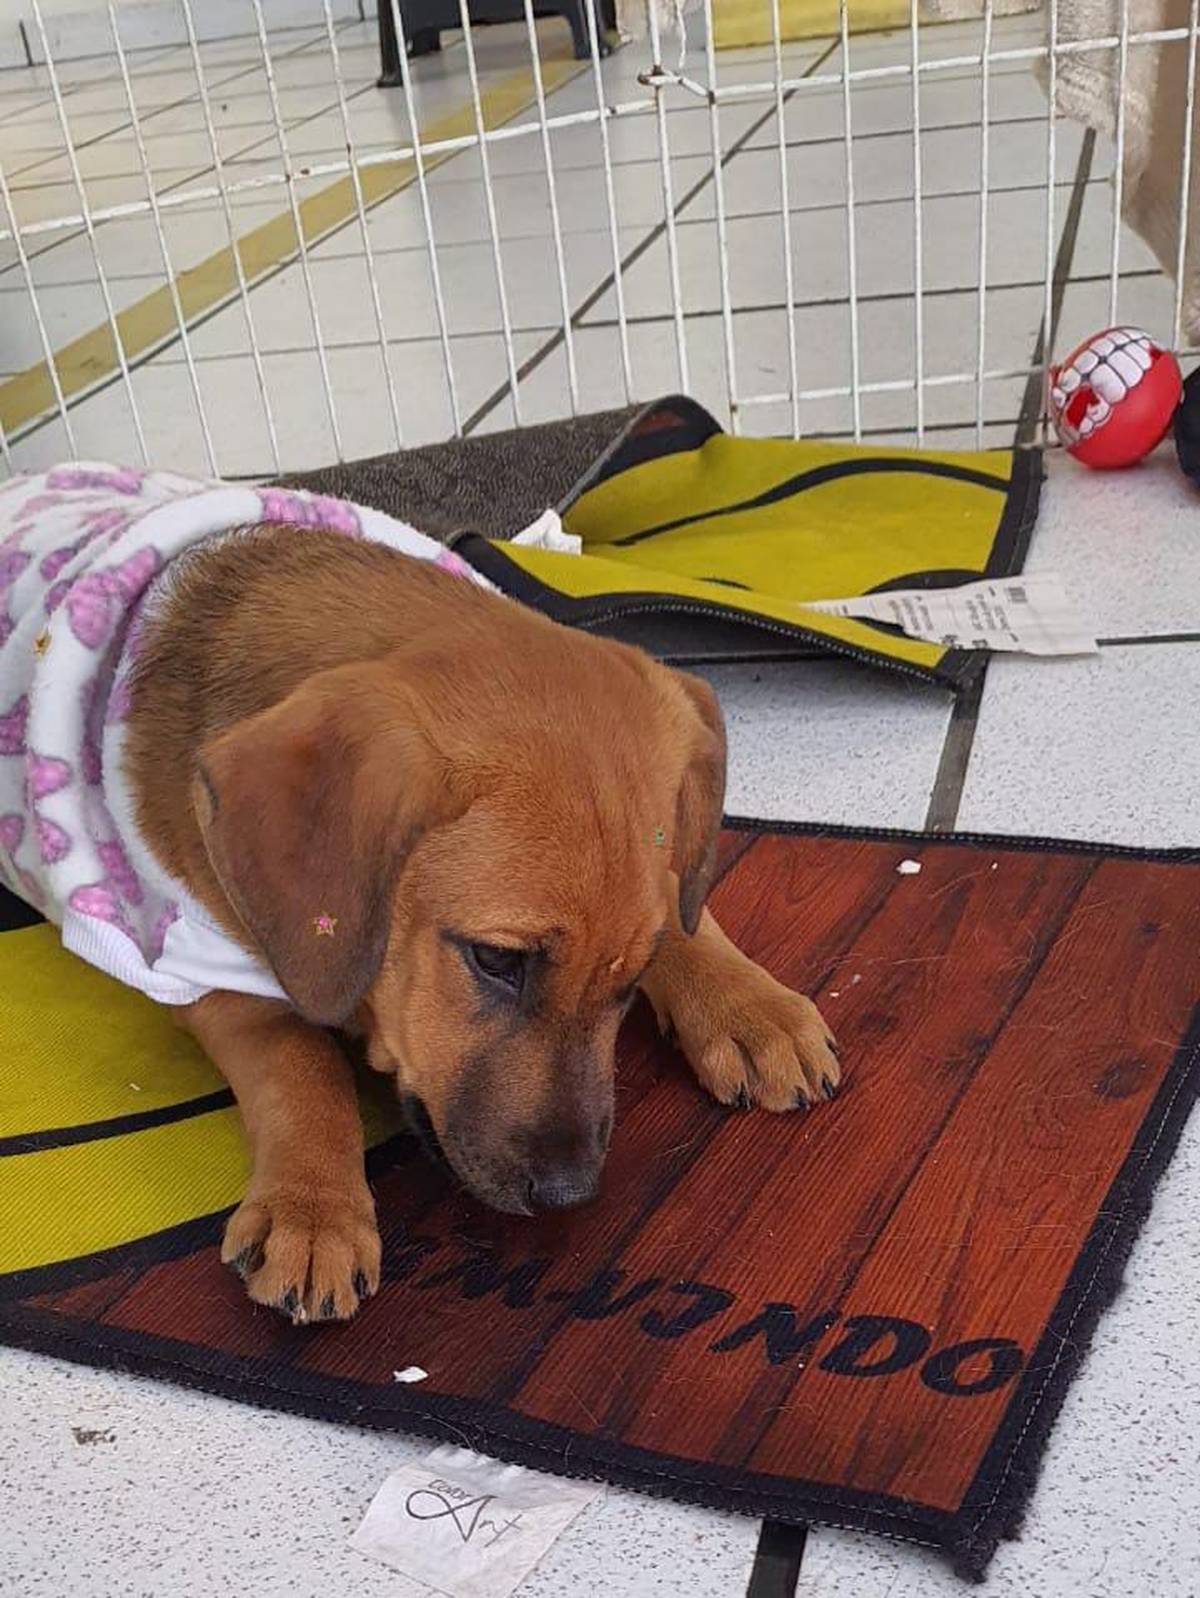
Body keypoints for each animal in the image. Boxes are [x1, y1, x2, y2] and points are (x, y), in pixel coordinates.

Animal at [0, 466, 839, 1325]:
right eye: (496, 960)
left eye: (634, 977)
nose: (570, 1194)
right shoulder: (198, 966)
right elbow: (301, 1063)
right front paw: (314, 1212)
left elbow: (683, 905)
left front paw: (746, 1004)